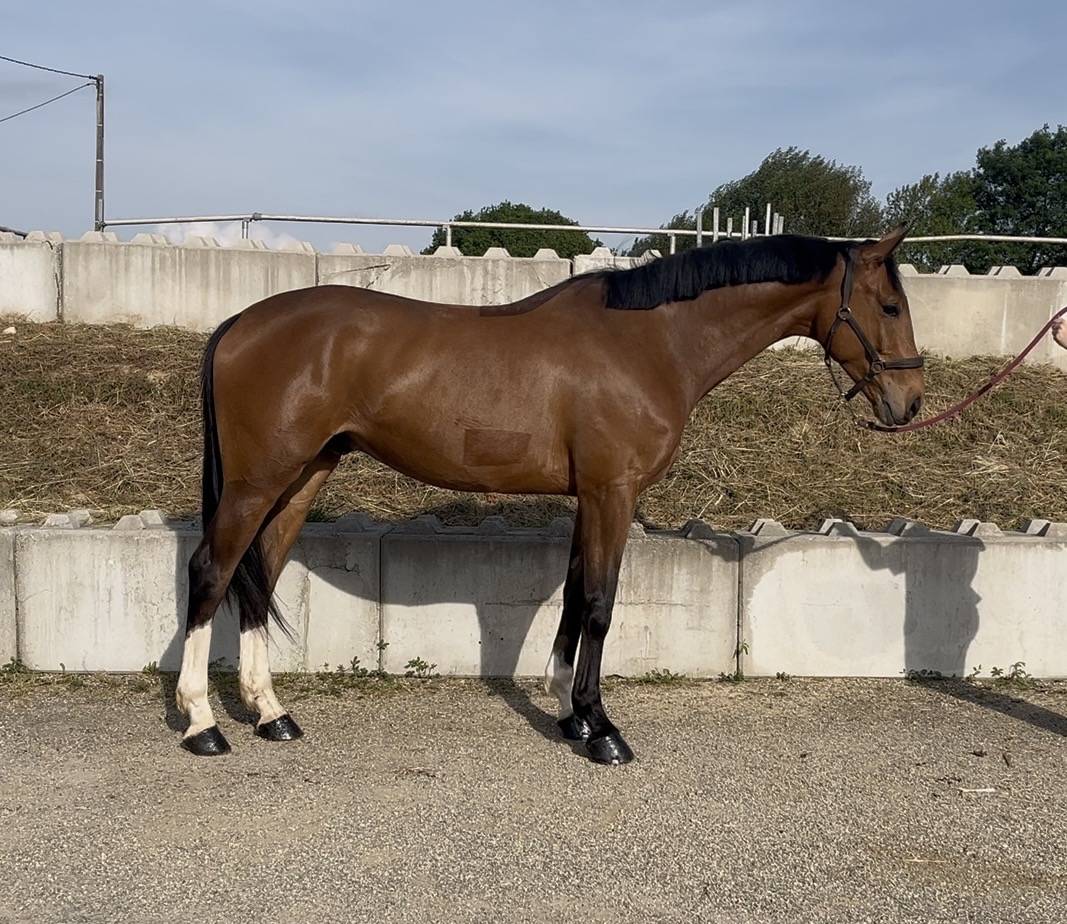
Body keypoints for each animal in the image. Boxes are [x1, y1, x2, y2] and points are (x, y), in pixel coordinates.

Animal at [175, 227, 924, 765]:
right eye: (889, 306)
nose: (910, 402)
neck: (651, 341)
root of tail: (240, 321)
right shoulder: (611, 492)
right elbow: (599, 603)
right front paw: (601, 729)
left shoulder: (589, 498)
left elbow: (572, 596)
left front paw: (568, 713)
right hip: (257, 481)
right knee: (211, 571)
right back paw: (203, 723)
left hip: (302, 478)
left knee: (258, 577)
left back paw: (272, 715)